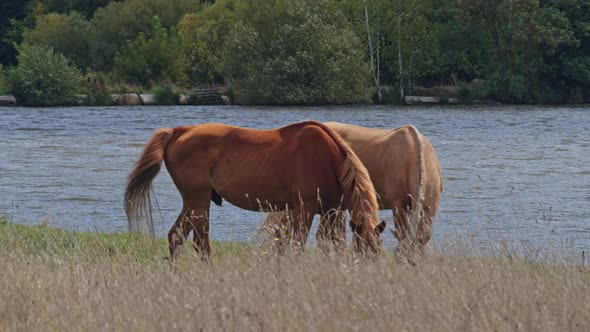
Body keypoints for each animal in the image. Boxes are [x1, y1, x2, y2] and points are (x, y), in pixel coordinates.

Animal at [125, 120, 386, 260]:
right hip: (198, 200)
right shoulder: (305, 208)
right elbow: (297, 244)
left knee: (176, 236)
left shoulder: (331, 211)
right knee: (201, 244)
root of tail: (179, 131)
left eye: (378, 249)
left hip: (191, 202)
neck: (330, 161)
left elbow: (330, 245)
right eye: (363, 249)